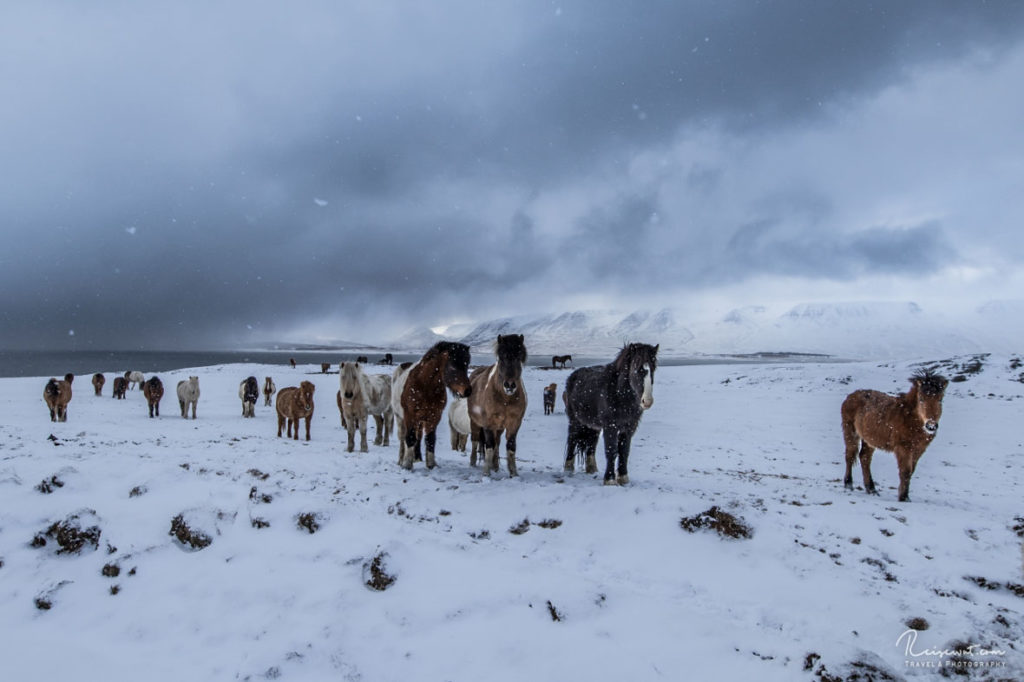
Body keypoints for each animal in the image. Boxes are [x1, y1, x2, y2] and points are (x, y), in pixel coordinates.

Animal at [466, 333, 528, 473]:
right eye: (501, 358)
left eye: (519, 358)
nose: (509, 385)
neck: (505, 399)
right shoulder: (488, 423)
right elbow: (489, 446)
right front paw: (486, 473)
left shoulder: (515, 423)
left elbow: (511, 446)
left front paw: (513, 473)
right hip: (475, 423)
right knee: (475, 441)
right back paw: (473, 463)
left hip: (499, 427)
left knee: (497, 443)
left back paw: (495, 466)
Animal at [565, 339, 659, 483]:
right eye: (637, 369)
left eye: (653, 369)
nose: (647, 401)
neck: (619, 393)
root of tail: (572, 377)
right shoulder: (611, 426)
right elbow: (611, 450)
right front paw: (609, 479)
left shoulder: (629, 427)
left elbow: (624, 451)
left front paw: (623, 478)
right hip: (575, 421)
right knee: (572, 439)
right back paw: (568, 469)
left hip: (593, 426)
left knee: (591, 444)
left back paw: (592, 469)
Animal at [839, 368, 950, 501]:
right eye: (921, 399)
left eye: (940, 400)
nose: (931, 426)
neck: (910, 418)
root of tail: (851, 395)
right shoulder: (903, 448)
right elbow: (905, 471)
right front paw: (903, 498)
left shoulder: (918, 450)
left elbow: (911, 471)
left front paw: (905, 496)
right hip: (850, 432)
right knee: (850, 455)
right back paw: (848, 484)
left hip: (869, 439)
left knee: (865, 458)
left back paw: (871, 489)